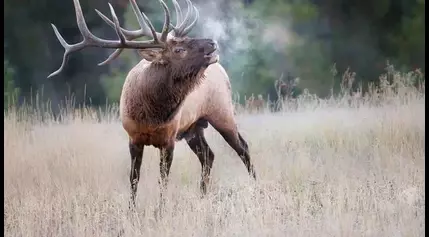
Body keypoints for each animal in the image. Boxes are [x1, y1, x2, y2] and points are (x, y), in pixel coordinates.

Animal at [47, 0, 254, 207]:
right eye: (179, 50)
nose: (212, 42)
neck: (152, 116)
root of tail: (222, 70)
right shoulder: (133, 138)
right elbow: (134, 178)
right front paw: (132, 209)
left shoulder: (169, 139)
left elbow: (163, 180)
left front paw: (160, 210)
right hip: (193, 128)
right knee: (208, 155)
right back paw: (202, 195)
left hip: (222, 112)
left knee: (242, 148)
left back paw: (255, 186)